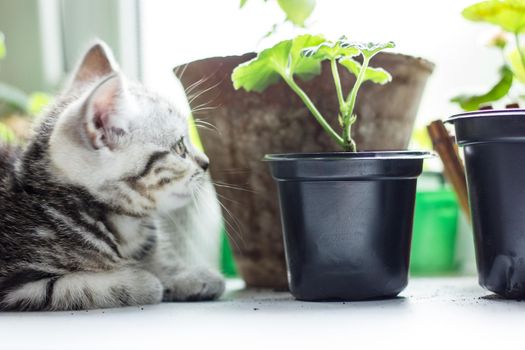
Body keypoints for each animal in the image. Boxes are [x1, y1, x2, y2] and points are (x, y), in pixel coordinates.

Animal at [0, 41, 223, 312]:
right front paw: (145, 281)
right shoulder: (19, 284)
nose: (206, 163)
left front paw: (187, 276)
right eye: (180, 148)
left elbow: (161, 264)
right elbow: (83, 288)